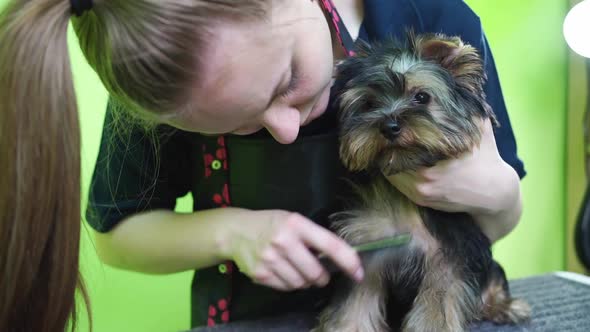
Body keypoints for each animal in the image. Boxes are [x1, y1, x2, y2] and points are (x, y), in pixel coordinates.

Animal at [314, 33, 532, 332]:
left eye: (421, 97)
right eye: (368, 104)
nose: (389, 126)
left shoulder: (448, 258)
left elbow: (437, 308)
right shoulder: (368, 249)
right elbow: (354, 307)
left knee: (492, 281)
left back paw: (504, 307)